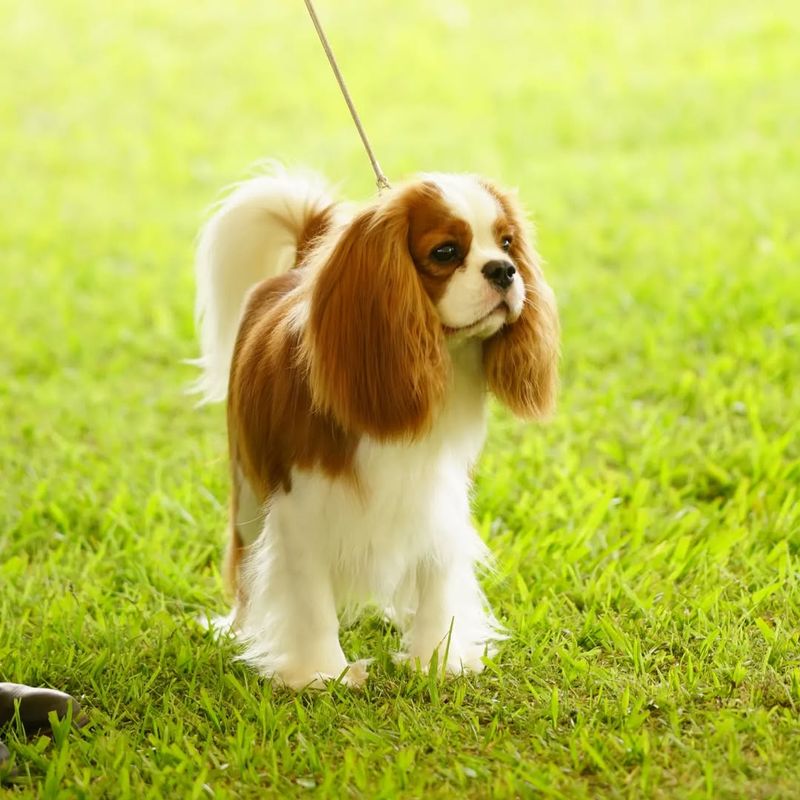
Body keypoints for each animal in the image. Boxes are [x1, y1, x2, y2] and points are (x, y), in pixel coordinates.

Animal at [194, 167, 560, 688]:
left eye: (507, 243)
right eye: (445, 253)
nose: (505, 271)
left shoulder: (438, 495)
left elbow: (437, 579)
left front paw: (436, 660)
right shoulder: (300, 508)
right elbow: (310, 600)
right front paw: (320, 675)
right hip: (247, 490)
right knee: (245, 565)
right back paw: (239, 629)